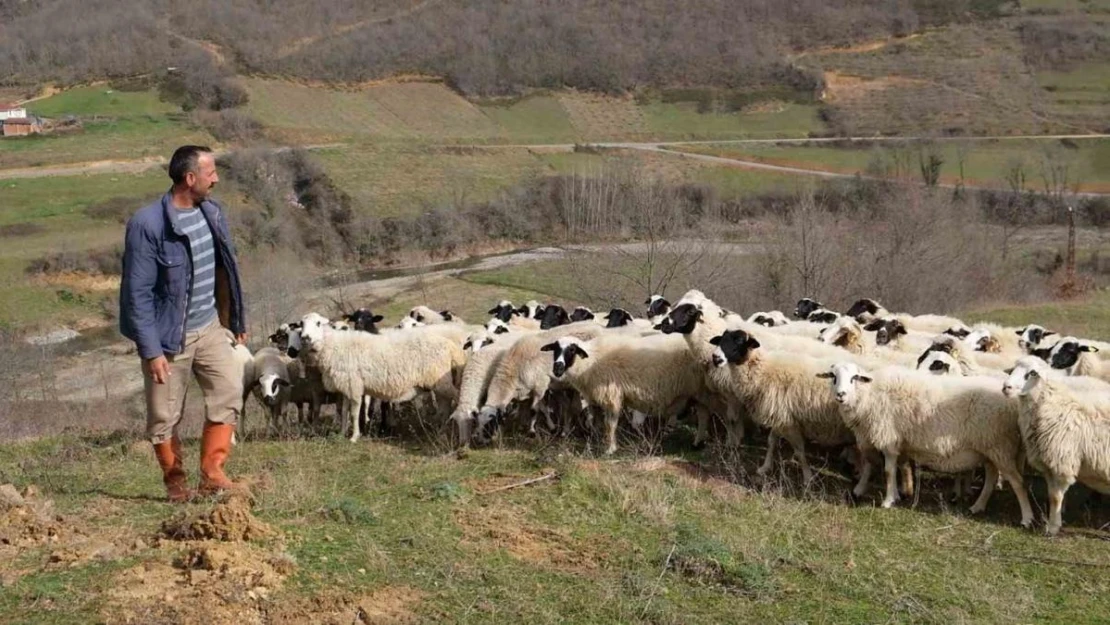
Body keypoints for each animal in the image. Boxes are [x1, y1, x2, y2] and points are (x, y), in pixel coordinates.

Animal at [297, 310, 466, 439]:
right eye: (301, 325)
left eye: (318, 323)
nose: (305, 338)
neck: (335, 345)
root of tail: (450, 346)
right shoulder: (346, 386)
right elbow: (344, 412)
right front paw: (342, 433)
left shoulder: (355, 386)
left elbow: (354, 413)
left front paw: (354, 437)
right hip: (439, 382)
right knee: (445, 404)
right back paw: (441, 428)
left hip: (440, 380)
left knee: (456, 397)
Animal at [541, 333, 705, 455]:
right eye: (555, 348)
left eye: (572, 350)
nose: (557, 368)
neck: (589, 362)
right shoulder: (596, 398)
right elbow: (596, 420)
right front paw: (596, 439)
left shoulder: (611, 396)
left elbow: (610, 424)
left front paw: (610, 449)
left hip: (702, 391)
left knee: (703, 416)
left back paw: (697, 443)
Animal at [816, 359, 1038, 526]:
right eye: (833, 376)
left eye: (854, 378)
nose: (841, 395)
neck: (869, 394)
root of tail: (1013, 401)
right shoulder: (877, 437)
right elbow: (874, 465)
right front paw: (864, 491)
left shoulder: (888, 438)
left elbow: (888, 471)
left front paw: (888, 501)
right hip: (990, 448)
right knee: (991, 477)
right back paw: (978, 506)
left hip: (1000, 446)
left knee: (1018, 482)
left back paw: (1027, 518)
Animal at [1003, 359, 1110, 535]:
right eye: (1013, 369)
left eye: (1032, 373)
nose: (1006, 387)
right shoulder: (1049, 465)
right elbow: (1051, 495)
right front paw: (1055, 522)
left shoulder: (1062, 464)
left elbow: (1055, 497)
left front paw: (1052, 528)